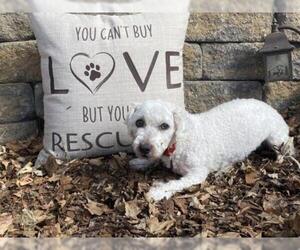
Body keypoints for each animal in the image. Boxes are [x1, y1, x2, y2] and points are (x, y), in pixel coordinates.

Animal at [125, 99, 294, 201]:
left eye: (164, 126)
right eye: (139, 122)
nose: (144, 148)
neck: (179, 142)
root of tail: (268, 106)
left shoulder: (197, 174)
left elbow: (175, 184)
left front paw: (158, 192)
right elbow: (155, 160)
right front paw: (141, 162)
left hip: (276, 139)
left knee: (288, 145)